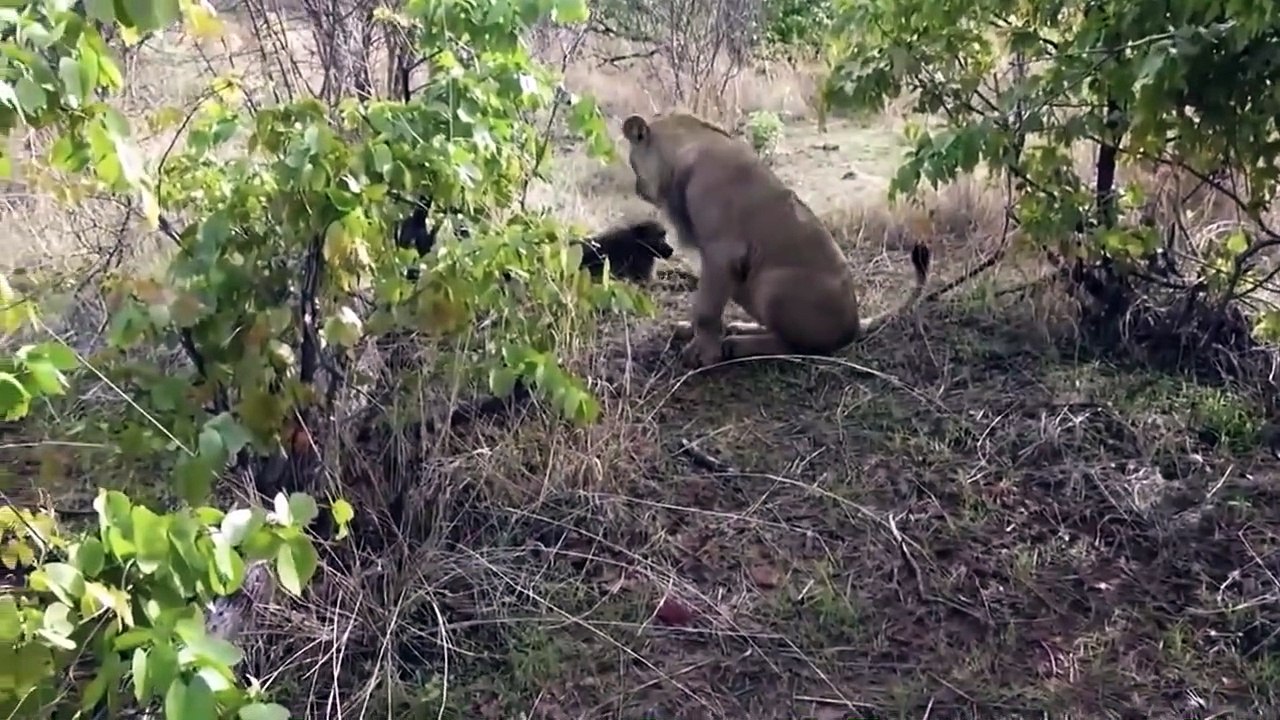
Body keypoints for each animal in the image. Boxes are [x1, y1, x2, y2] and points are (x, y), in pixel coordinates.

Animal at [620, 112, 932, 368]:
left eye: (633, 164)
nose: (636, 188)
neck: (685, 145)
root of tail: (855, 324)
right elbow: (704, 305)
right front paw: (694, 333)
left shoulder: (722, 252)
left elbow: (707, 309)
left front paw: (703, 354)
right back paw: (739, 328)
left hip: (771, 284)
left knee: (796, 346)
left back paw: (736, 344)